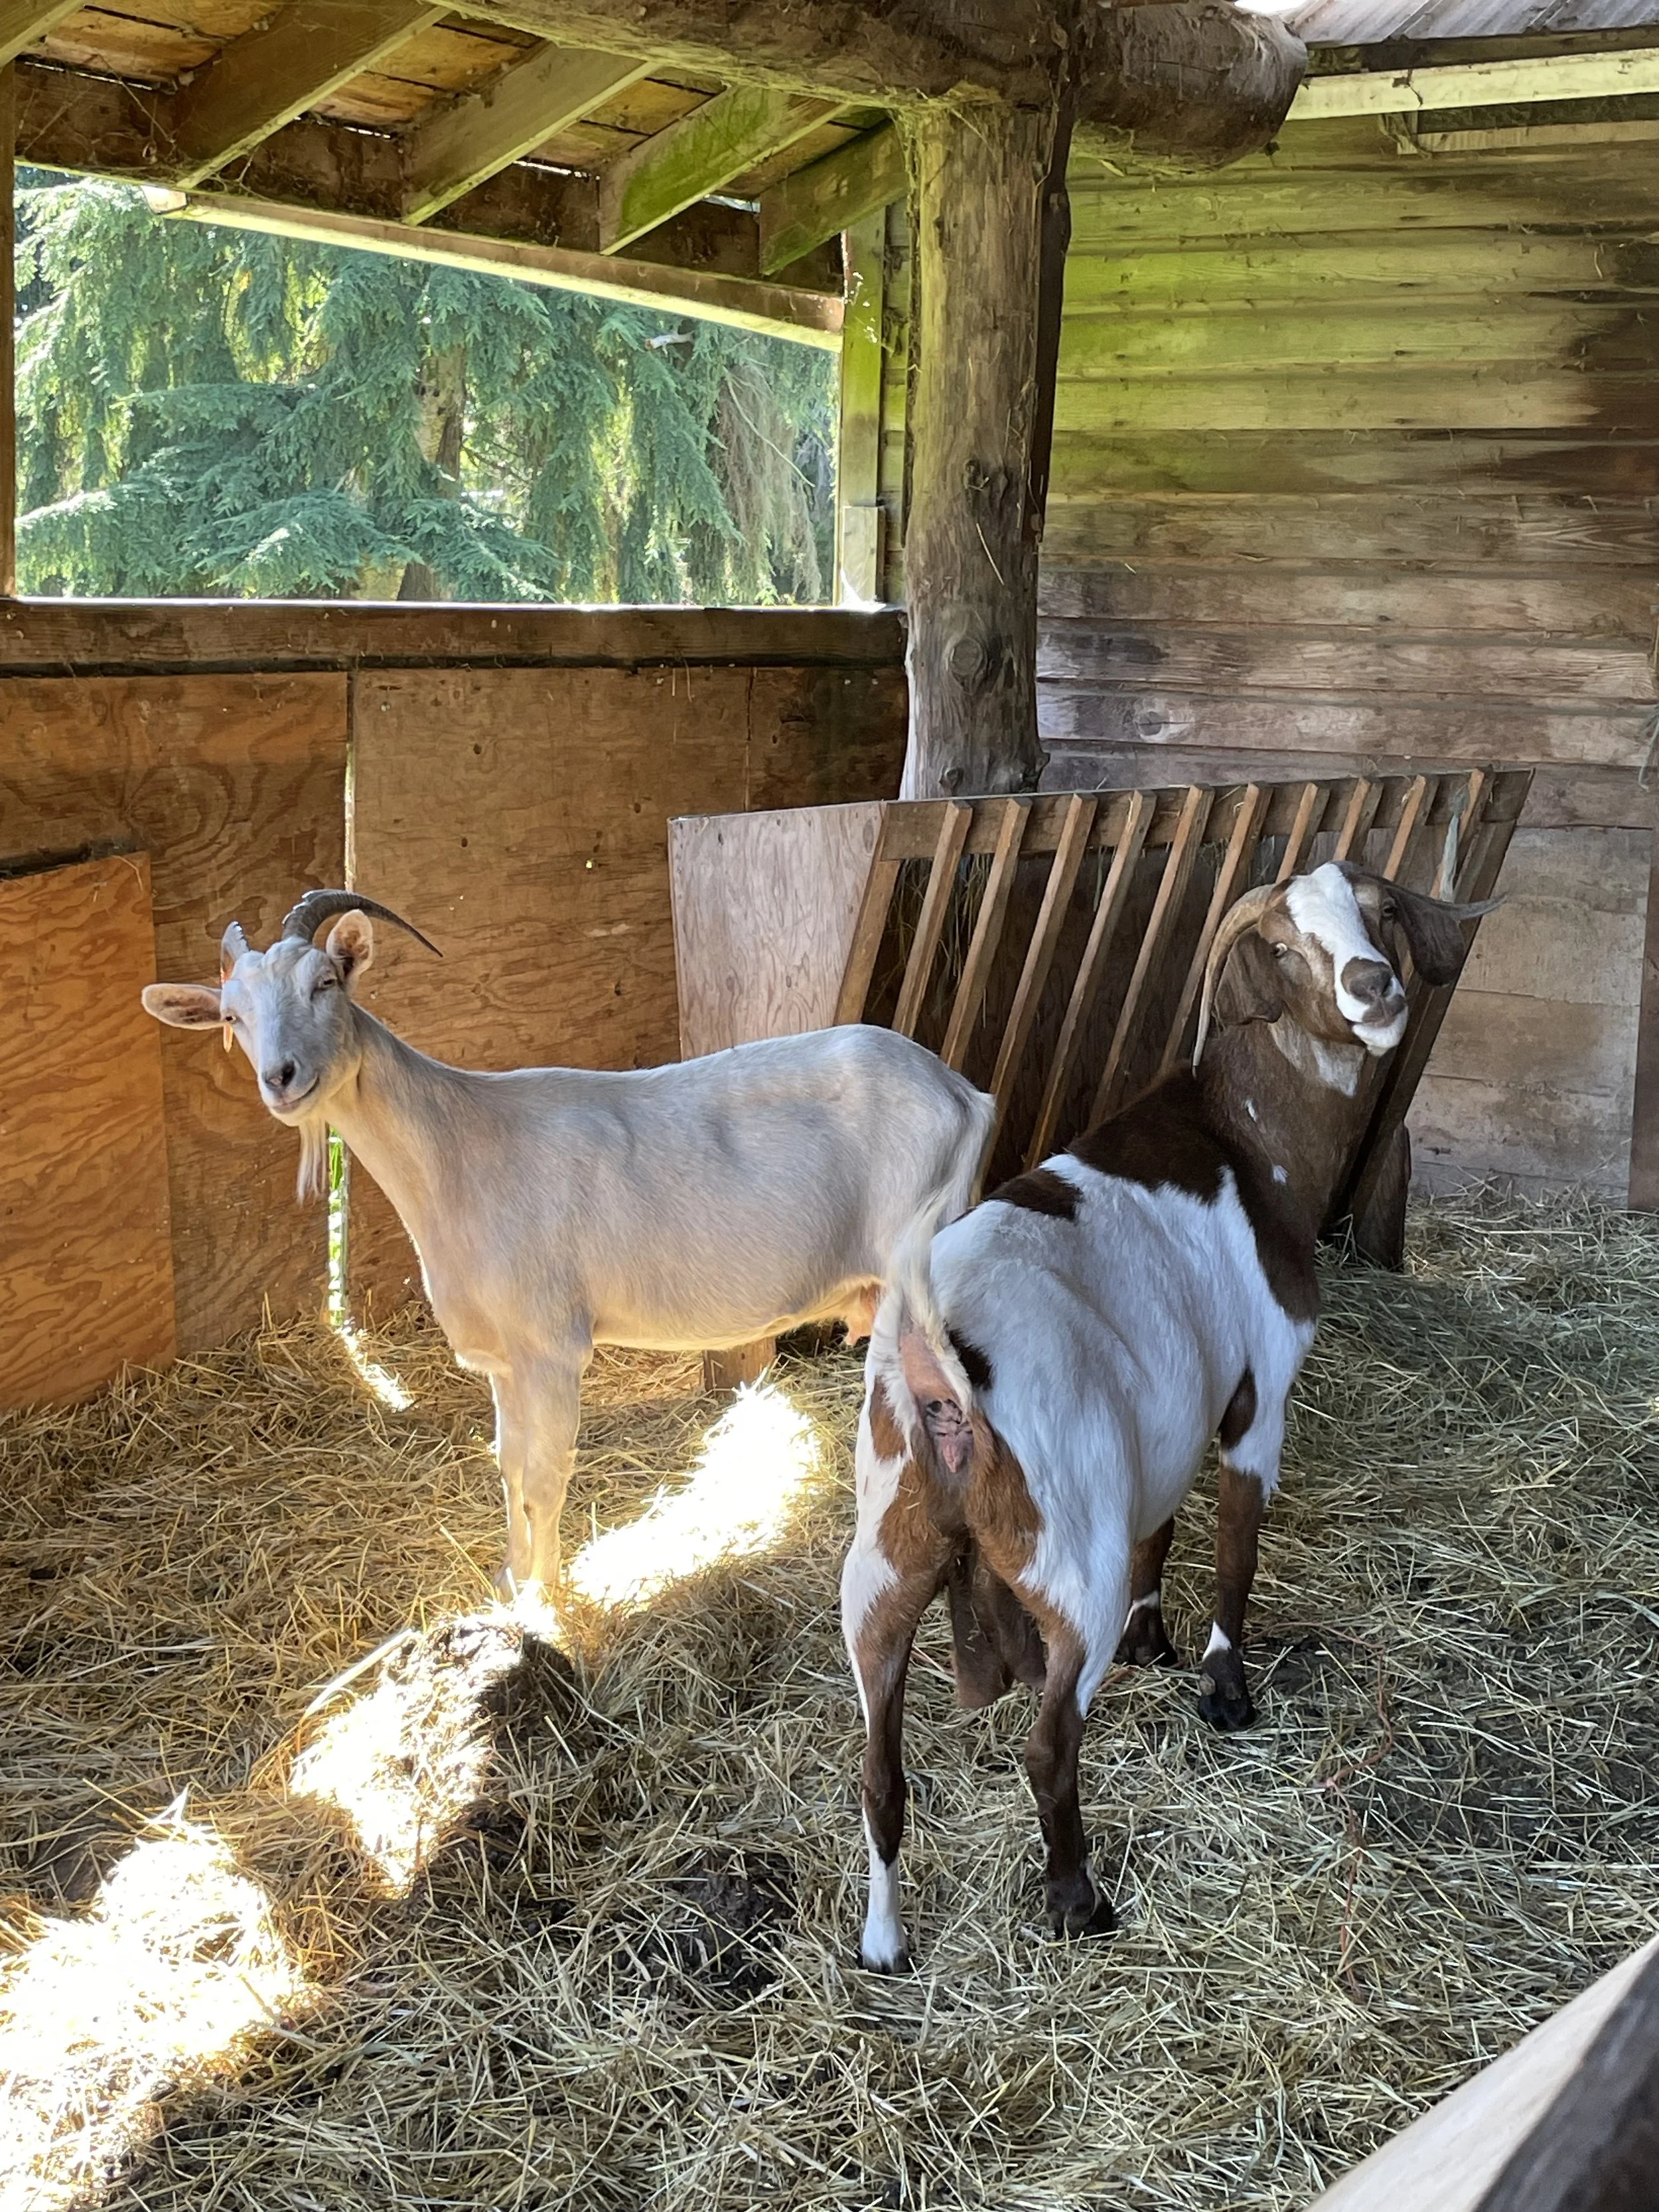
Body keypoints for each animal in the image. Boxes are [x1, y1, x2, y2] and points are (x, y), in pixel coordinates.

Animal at [143, 889, 994, 1605]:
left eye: (325, 982)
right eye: (230, 1017)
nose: (281, 1077)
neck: (462, 1150)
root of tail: (965, 1093)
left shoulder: (553, 1346)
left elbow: (545, 1474)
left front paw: (548, 1600)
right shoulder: (503, 1356)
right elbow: (508, 1464)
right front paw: (511, 1579)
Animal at [841, 861, 1489, 1970]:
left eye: (1383, 914)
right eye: (1284, 946)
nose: (1373, 986)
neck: (1251, 1139)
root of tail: (940, 1381)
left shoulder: (1171, 1409)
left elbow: (1165, 1527)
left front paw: (1155, 1639)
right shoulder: (1260, 1388)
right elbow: (1234, 1542)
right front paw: (1226, 1687)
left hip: (883, 1561)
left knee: (883, 1768)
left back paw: (885, 1944)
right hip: (1067, 1562)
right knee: (1048, 1743)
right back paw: (1077, 1900)